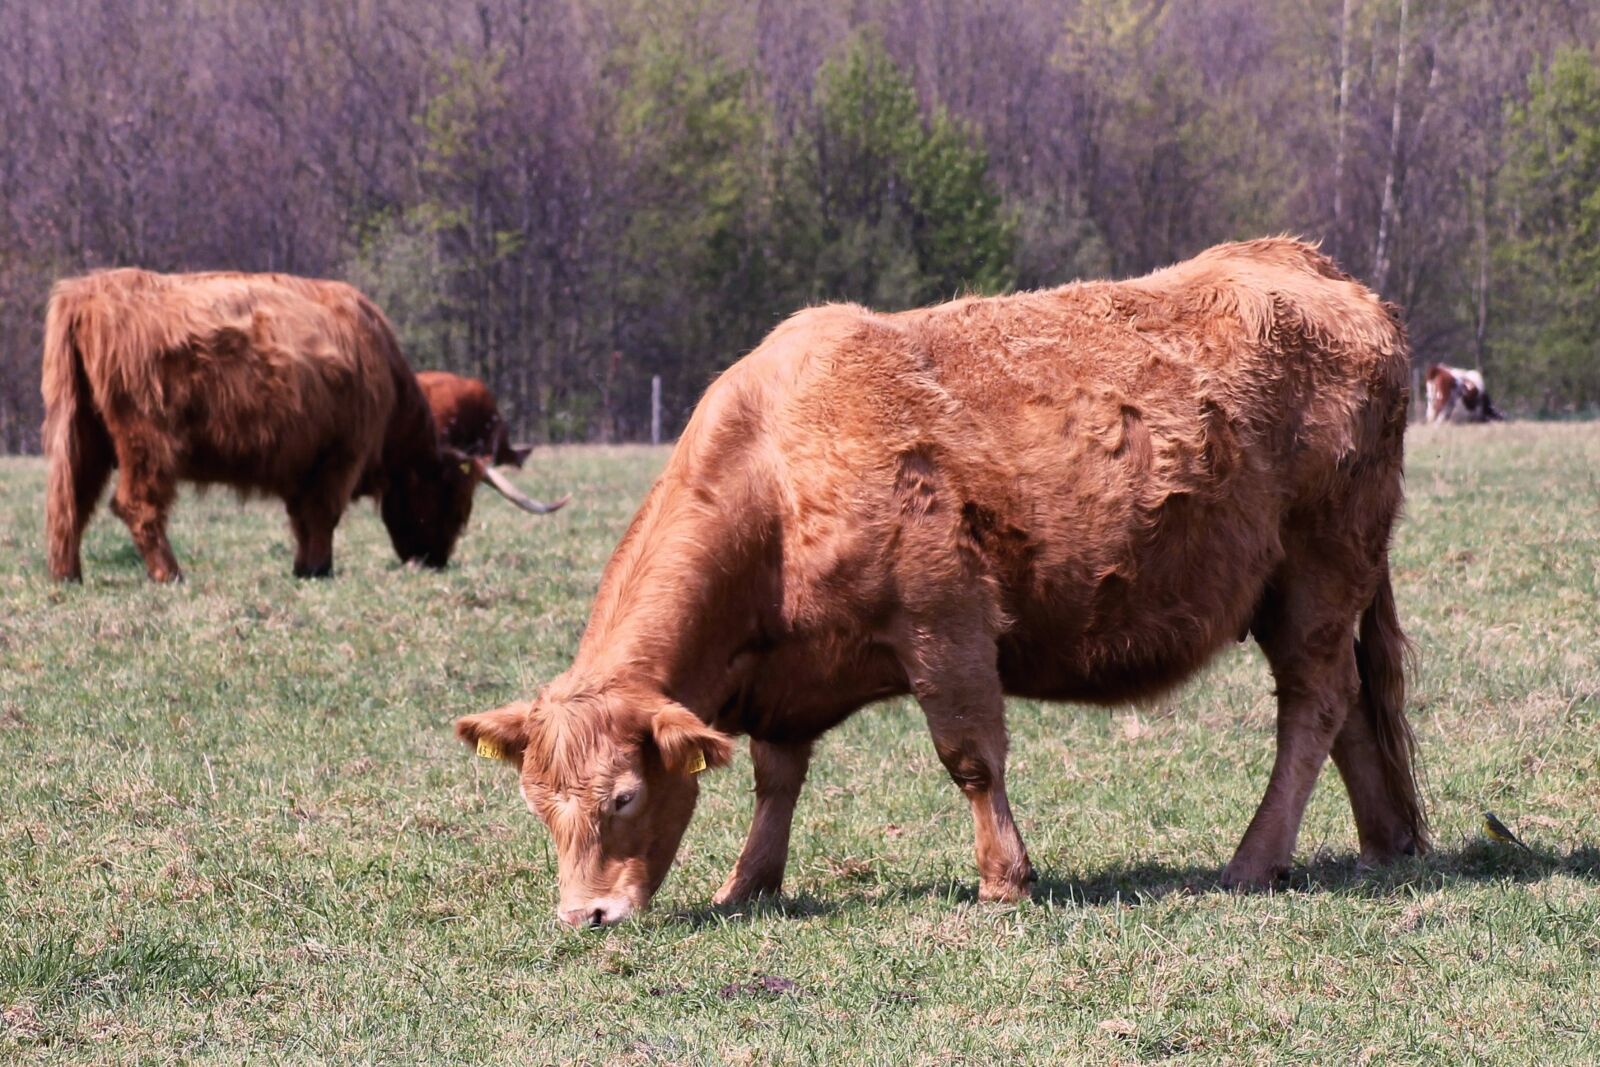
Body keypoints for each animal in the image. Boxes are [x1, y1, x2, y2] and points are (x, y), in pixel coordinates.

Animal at [456, 238, 1428, 927]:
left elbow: (970, 757)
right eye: (537, 803)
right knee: (1344, 708)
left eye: (624, 795)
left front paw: (1005, 880)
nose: (586, 914)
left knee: (1312, 704)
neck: (777, 470)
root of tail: (1308, 264)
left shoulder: (945, 622)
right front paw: (748, 883)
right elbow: (778, 777)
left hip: (1319, 572)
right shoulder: (787, 683)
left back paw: (1253, 860)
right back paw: (1382, 844)